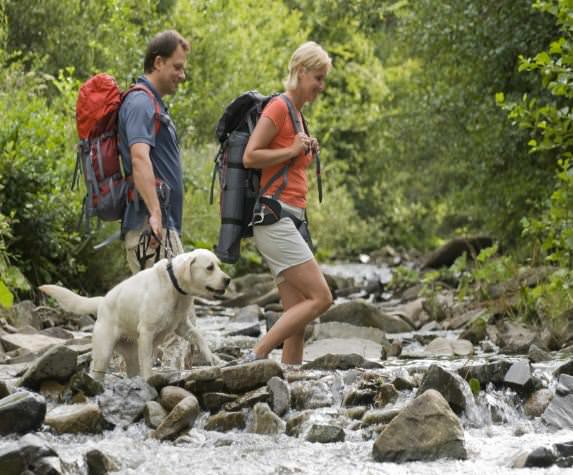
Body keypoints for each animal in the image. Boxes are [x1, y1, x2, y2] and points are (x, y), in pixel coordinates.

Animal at [38, 251, 231, 382]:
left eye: (219, 265)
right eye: (210, 268)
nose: (228, 279)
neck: (174, 285)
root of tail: (102, 301)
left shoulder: (181, 326)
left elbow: (199, 336)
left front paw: (212, 358)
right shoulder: (147, 332)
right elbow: (147, 363)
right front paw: (149, 380)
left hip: (130, 355)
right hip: (103, 352)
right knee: (98, 371)